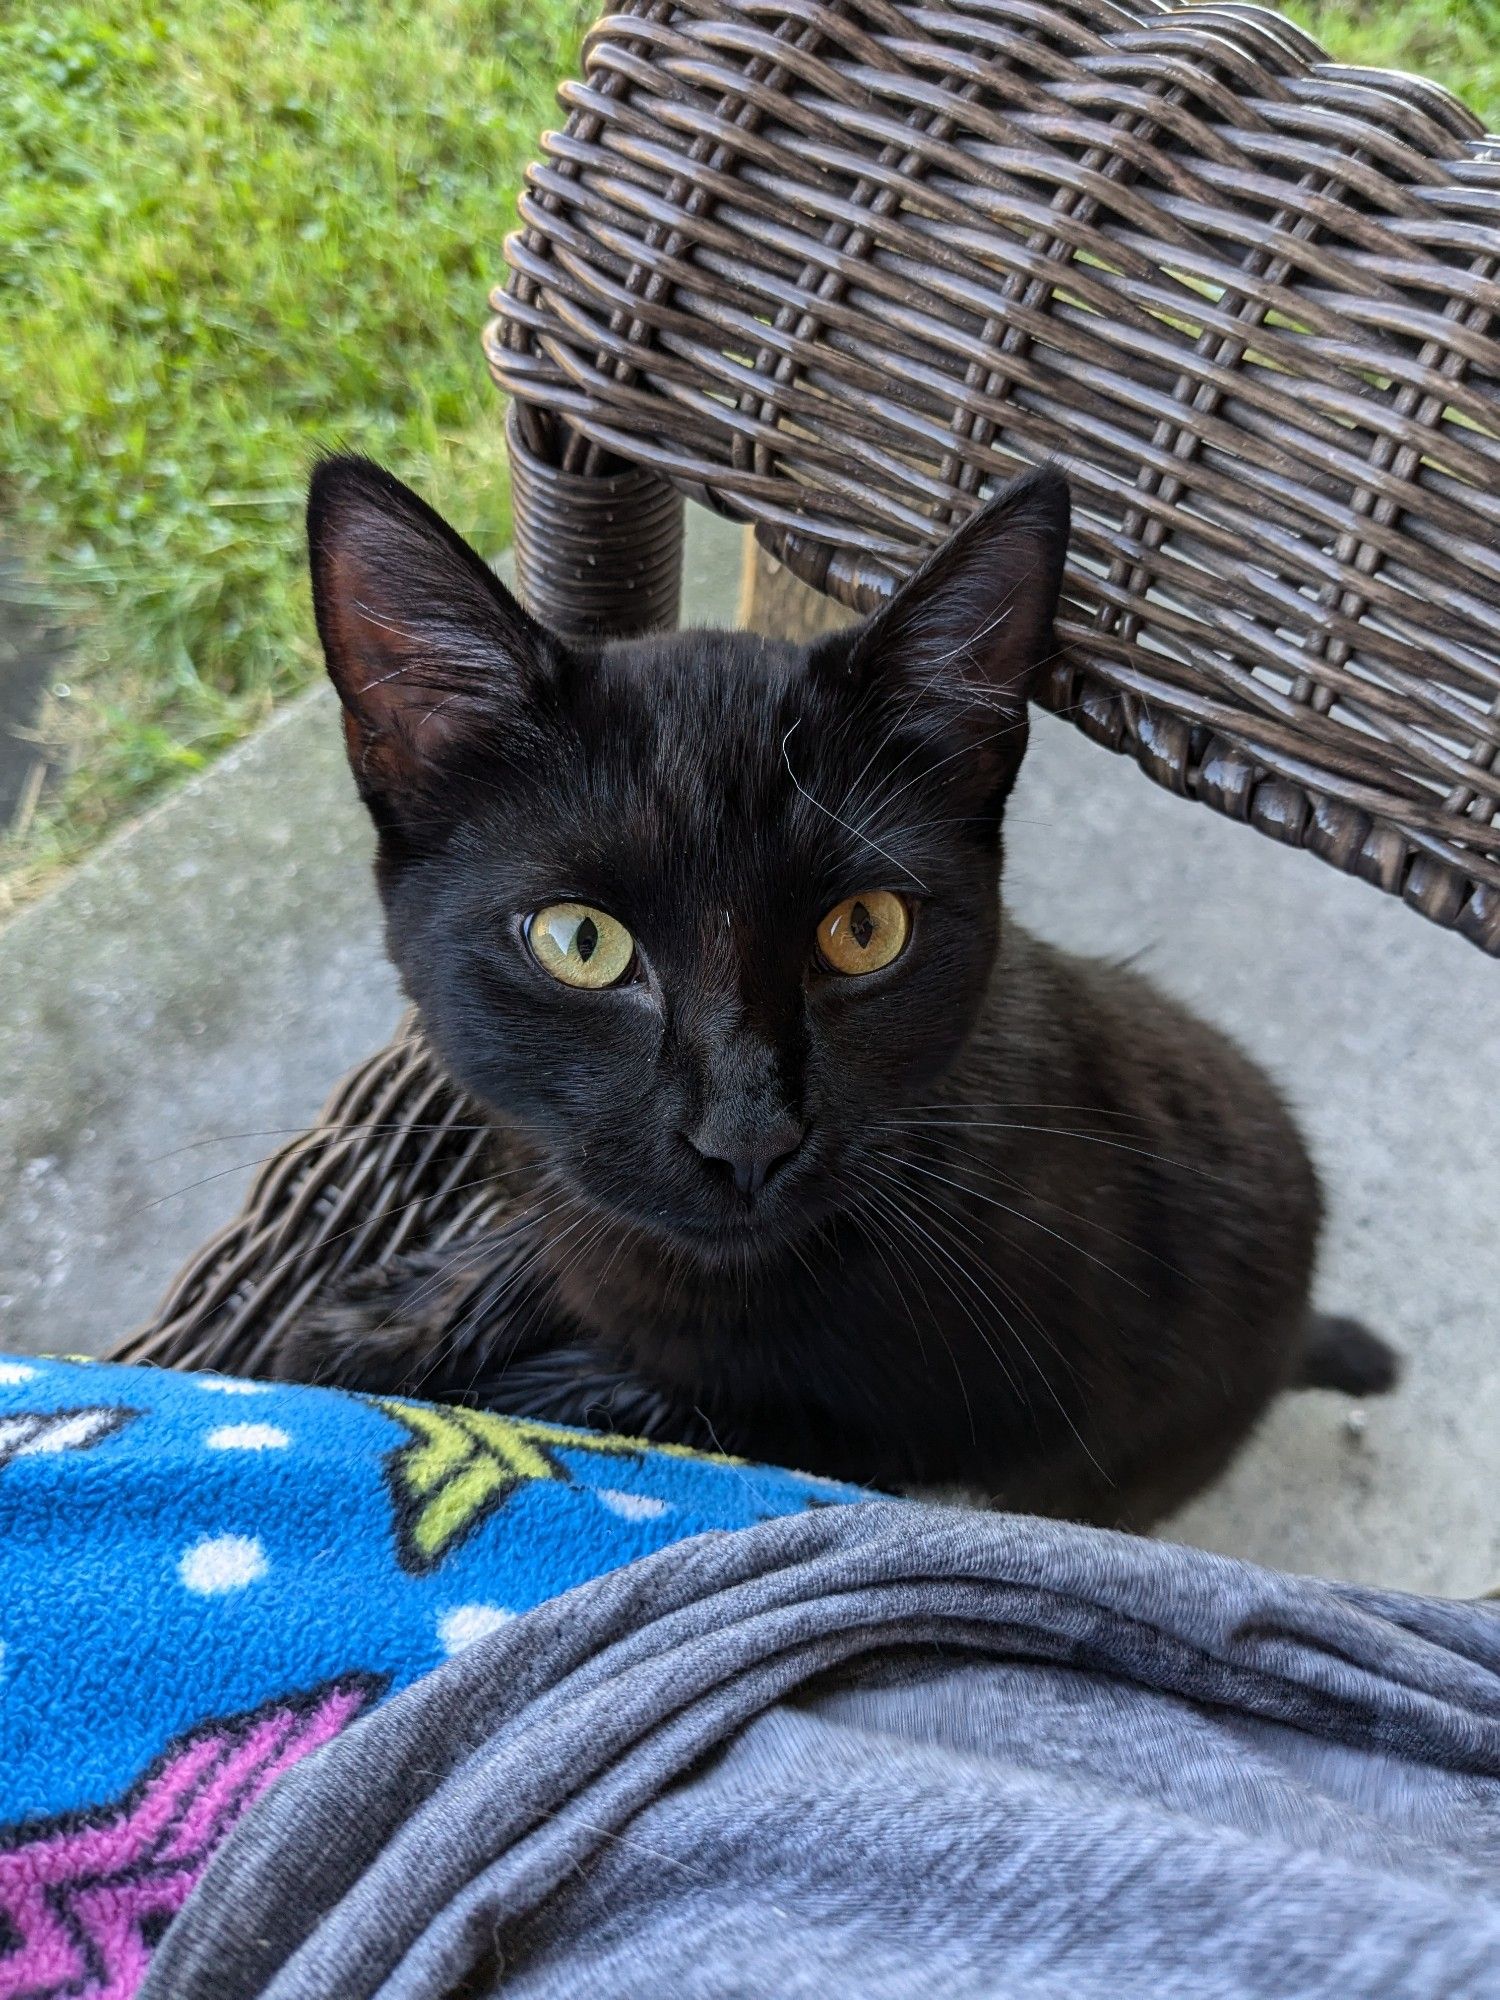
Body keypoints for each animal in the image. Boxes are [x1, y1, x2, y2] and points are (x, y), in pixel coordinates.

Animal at [274, 450, 1400, 1512]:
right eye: (579, 941)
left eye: (865, 930)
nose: (747, 1135)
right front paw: (392, 1318)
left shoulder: (923, 1432)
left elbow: (662, 1407)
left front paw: (505, 1378)